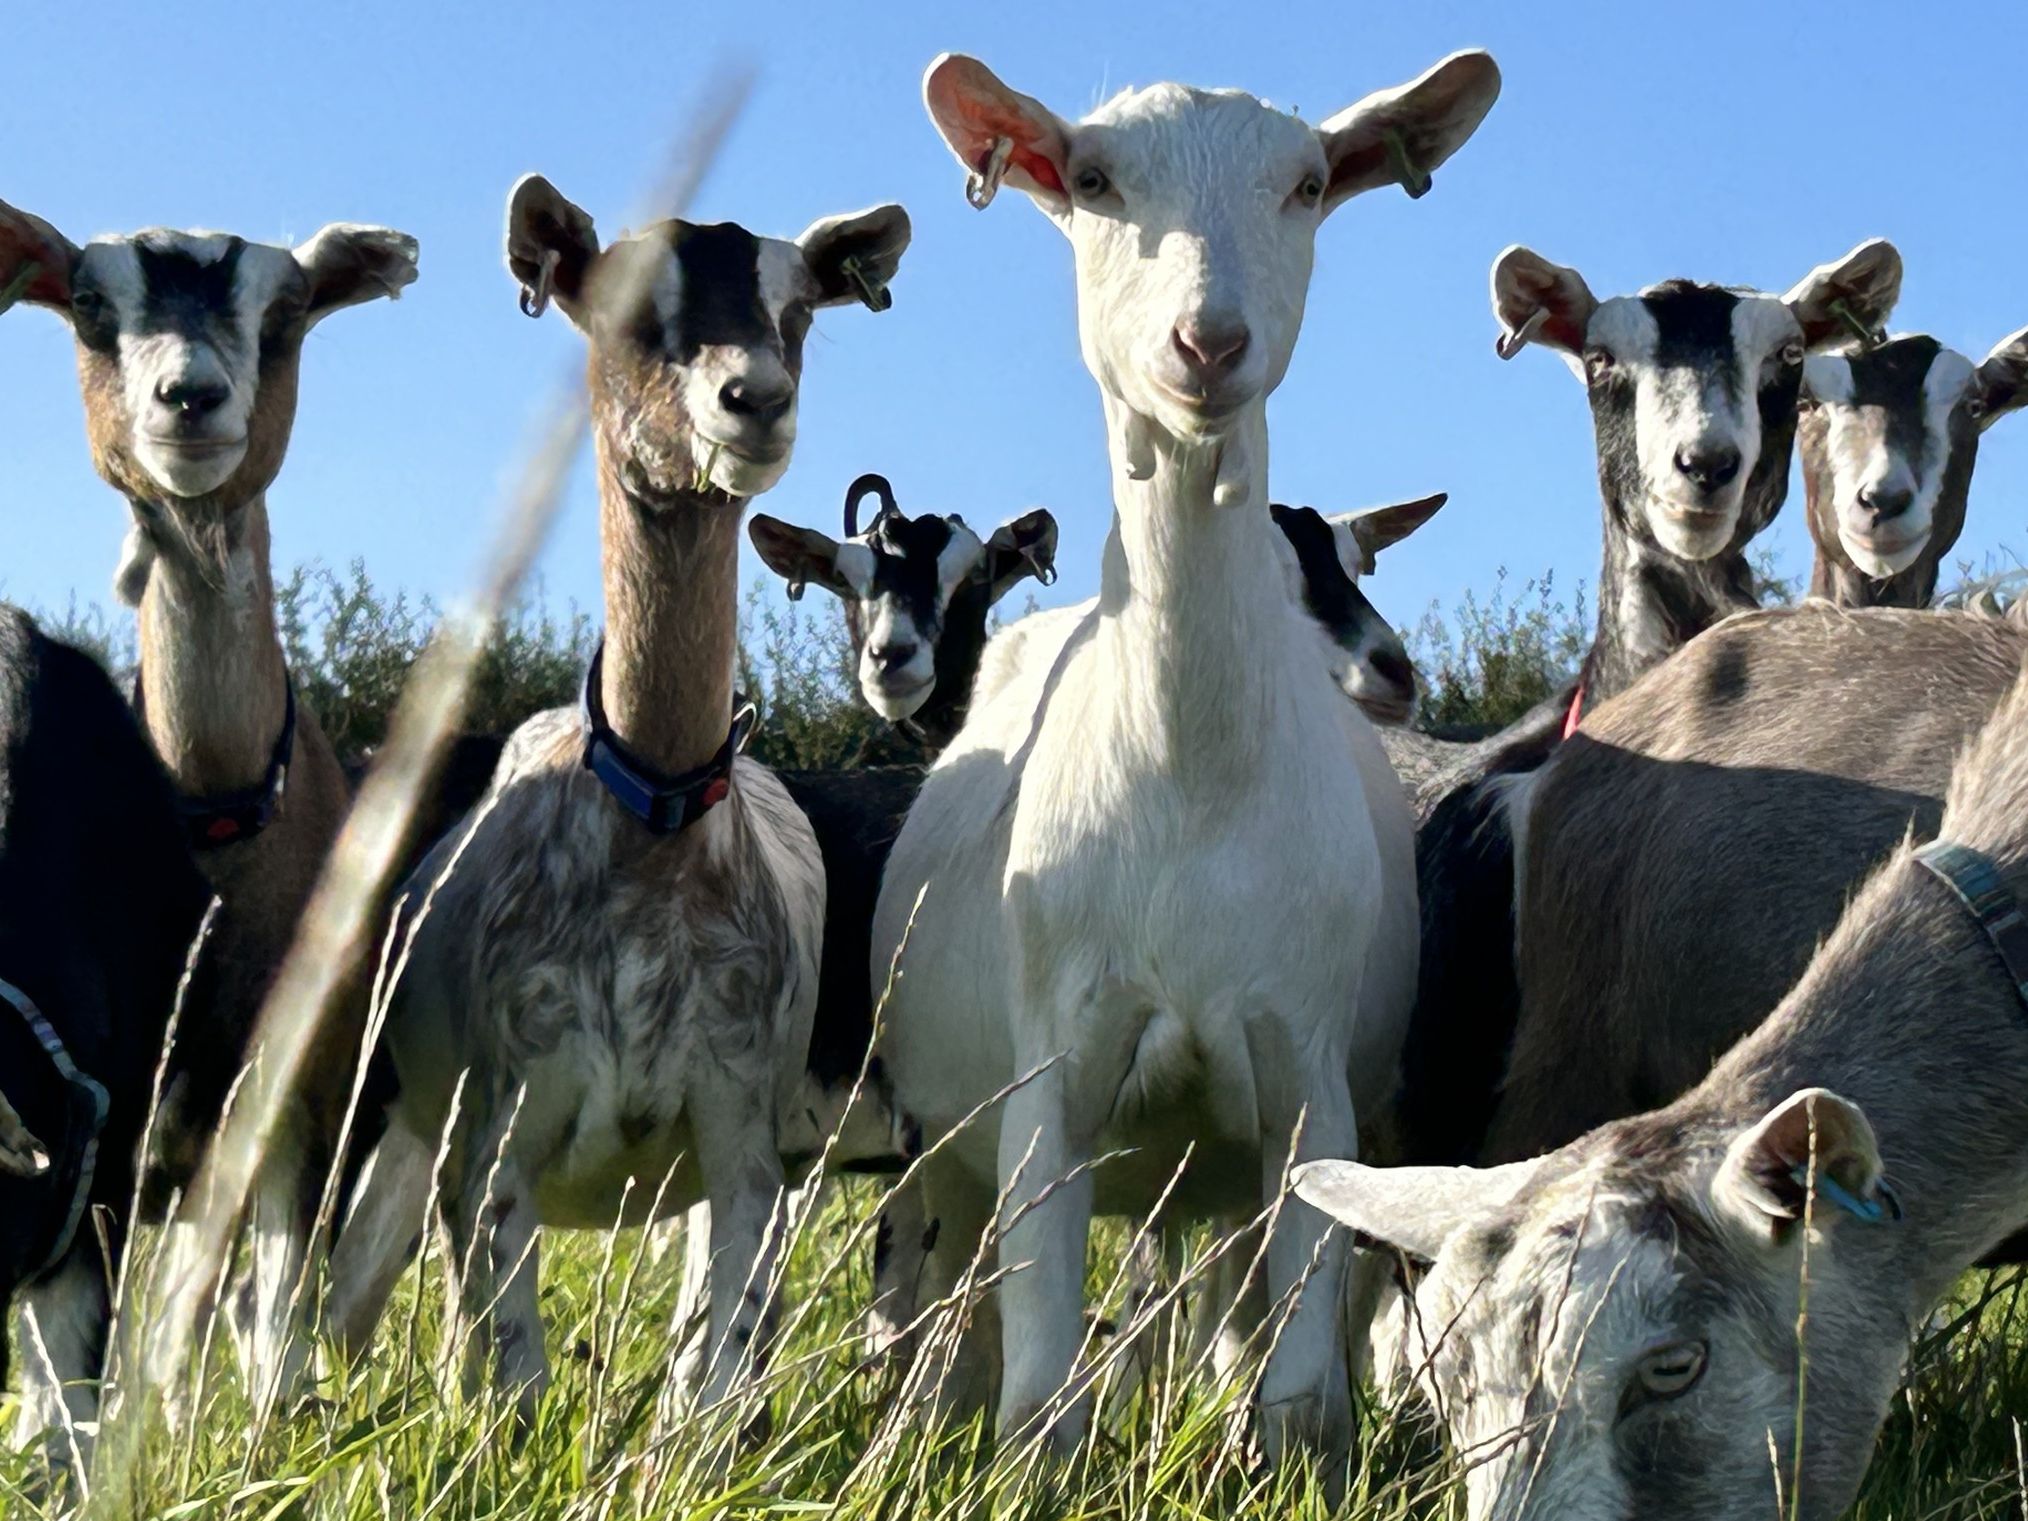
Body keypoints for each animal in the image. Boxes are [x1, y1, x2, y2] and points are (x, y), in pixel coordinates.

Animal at [325, 175, 909, 1424]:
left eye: (799, 307)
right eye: (631, 304)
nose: (755, 400)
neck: (656, 830)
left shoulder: (744, 1147)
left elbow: (711, 1384)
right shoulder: (491, 1147)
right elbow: (508, 1385)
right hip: (391, 1125)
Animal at [868, 49, 1500, 1471]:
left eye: (1309, 184)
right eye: (1094, 179)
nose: (1208, 345)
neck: (1191, 779)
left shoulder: (1307, 1072)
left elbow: (1302, 1391)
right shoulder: (1053, 1068)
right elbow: (1038, 1391)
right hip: (945, 1136)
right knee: (940, 1284)